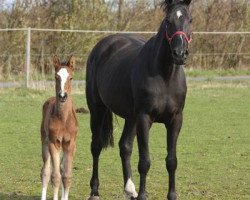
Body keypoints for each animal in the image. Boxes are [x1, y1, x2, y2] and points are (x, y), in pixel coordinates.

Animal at [40, 55, 78, 200]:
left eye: (71, 77)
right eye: (56, 77)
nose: (62, 96)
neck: (63, 119)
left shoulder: (70, 144)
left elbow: (66, 176)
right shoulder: (54, 142)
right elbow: (55, 177)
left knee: (61, 169)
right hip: (44, 141)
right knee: (45, 172)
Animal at [86, 0, 193, 199]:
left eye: (190, 20)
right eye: (168, 21)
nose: (179, 54)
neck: (165, 76)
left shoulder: (175, 119)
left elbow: (171, 161)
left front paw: (171, 195)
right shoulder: (144, 118)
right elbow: (144, 161)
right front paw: (143, 195)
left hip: (131, 118)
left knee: (125, 146)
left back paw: (130, 189)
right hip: (97, 109)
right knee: (96, 146)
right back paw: (95, 190)